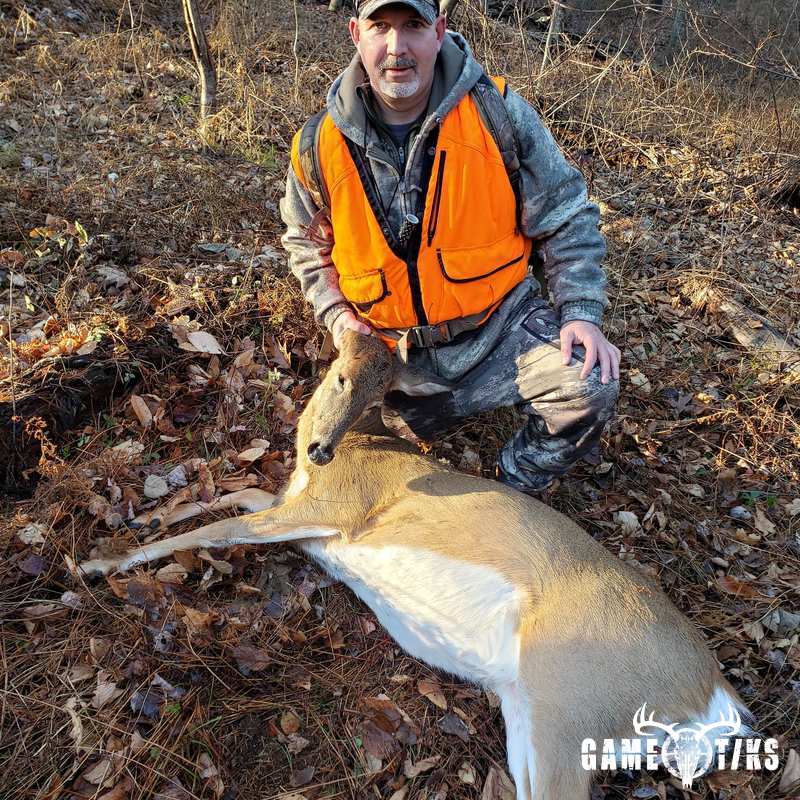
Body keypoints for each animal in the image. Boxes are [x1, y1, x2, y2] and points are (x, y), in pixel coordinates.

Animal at [79, 330, 752, 799]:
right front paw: (142, 519)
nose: (320, 450)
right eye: (340, 376)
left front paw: (99, 561)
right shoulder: (297, 508)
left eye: (379, 392)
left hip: (569, 700)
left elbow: (219, 526)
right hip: (534, 715)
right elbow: (230, 496)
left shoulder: (336, 509)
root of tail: (715, 696)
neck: (354, 448)